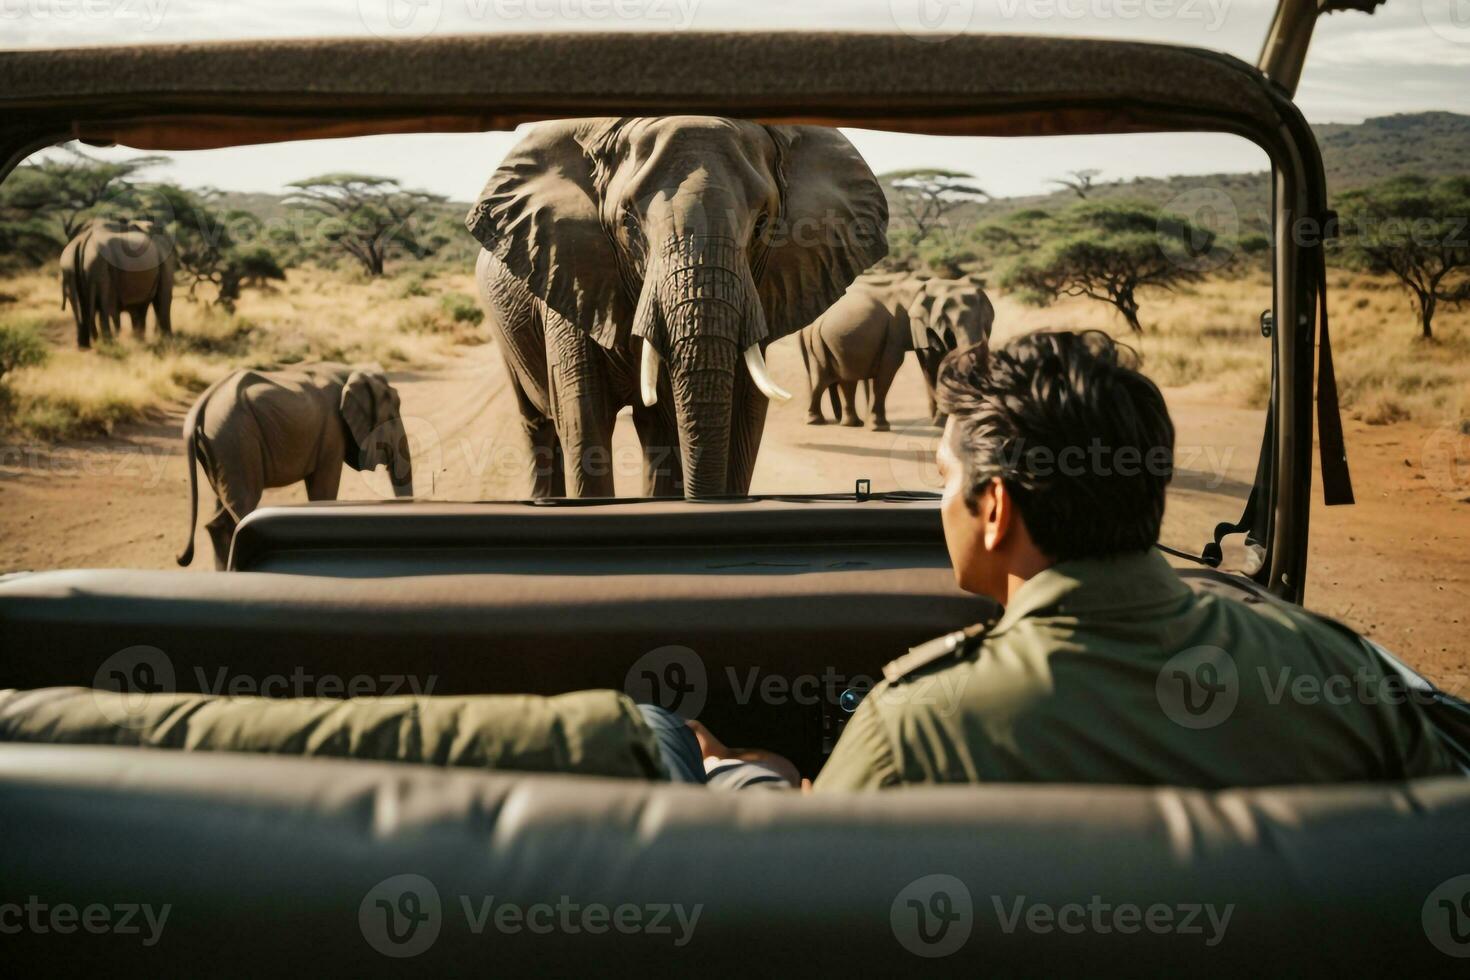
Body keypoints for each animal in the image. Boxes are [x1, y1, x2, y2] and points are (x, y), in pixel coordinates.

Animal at [60, 218, 176, 348]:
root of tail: (83, 241)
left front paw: (140, 342)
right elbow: (162, 298)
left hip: (72, 268)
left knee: (80, 308)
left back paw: (86, 346)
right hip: (93, 268)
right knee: (102, 306)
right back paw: (107, 345)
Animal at [182, 364, 420, 570]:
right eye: (391, 417)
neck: (351, 373)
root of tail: (200, 408)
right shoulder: (332, 432)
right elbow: (323, 491)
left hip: (223, 448)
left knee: (220, 520)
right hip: (236, 440)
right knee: (244, 507)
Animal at [467, 116, 882, 499]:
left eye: (762, 223)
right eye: (629, 222)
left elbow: (741, 419)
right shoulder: (570, 271)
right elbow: (585, 426)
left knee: (655, 434)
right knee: (538, 424)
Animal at [799, 274, 993, 431]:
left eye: (988, 323)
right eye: (947, 321)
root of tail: (816, 323)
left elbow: (933, 364)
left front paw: (940, 424)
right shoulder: (899, 329)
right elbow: (891, 369)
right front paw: (880, 427)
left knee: (846, 378)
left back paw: (851, 424)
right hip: (819, 343)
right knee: (823, 378)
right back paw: (815, 421)